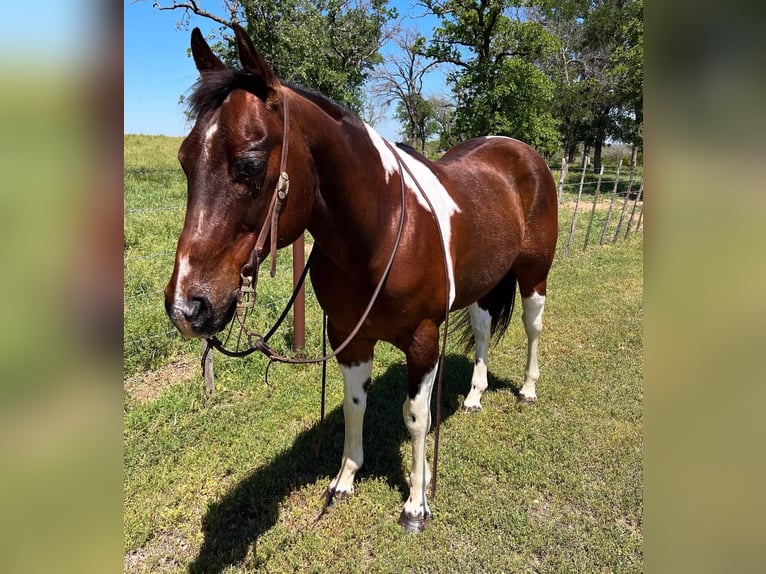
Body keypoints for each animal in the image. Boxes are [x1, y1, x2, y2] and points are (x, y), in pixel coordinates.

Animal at [165, 24, 560, 532]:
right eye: (184, 159)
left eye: (249, 164)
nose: (186, 306)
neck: (382, 230)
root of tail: (522, 151)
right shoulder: (349, 337)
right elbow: (356, 406)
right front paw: (345, 478)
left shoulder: (423, 339)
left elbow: (416, 417)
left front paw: (416, 503)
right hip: (483, 284)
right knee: (483, 328)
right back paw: (474, 396)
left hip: (533, 274)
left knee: (533, 326)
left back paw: (527, 390)